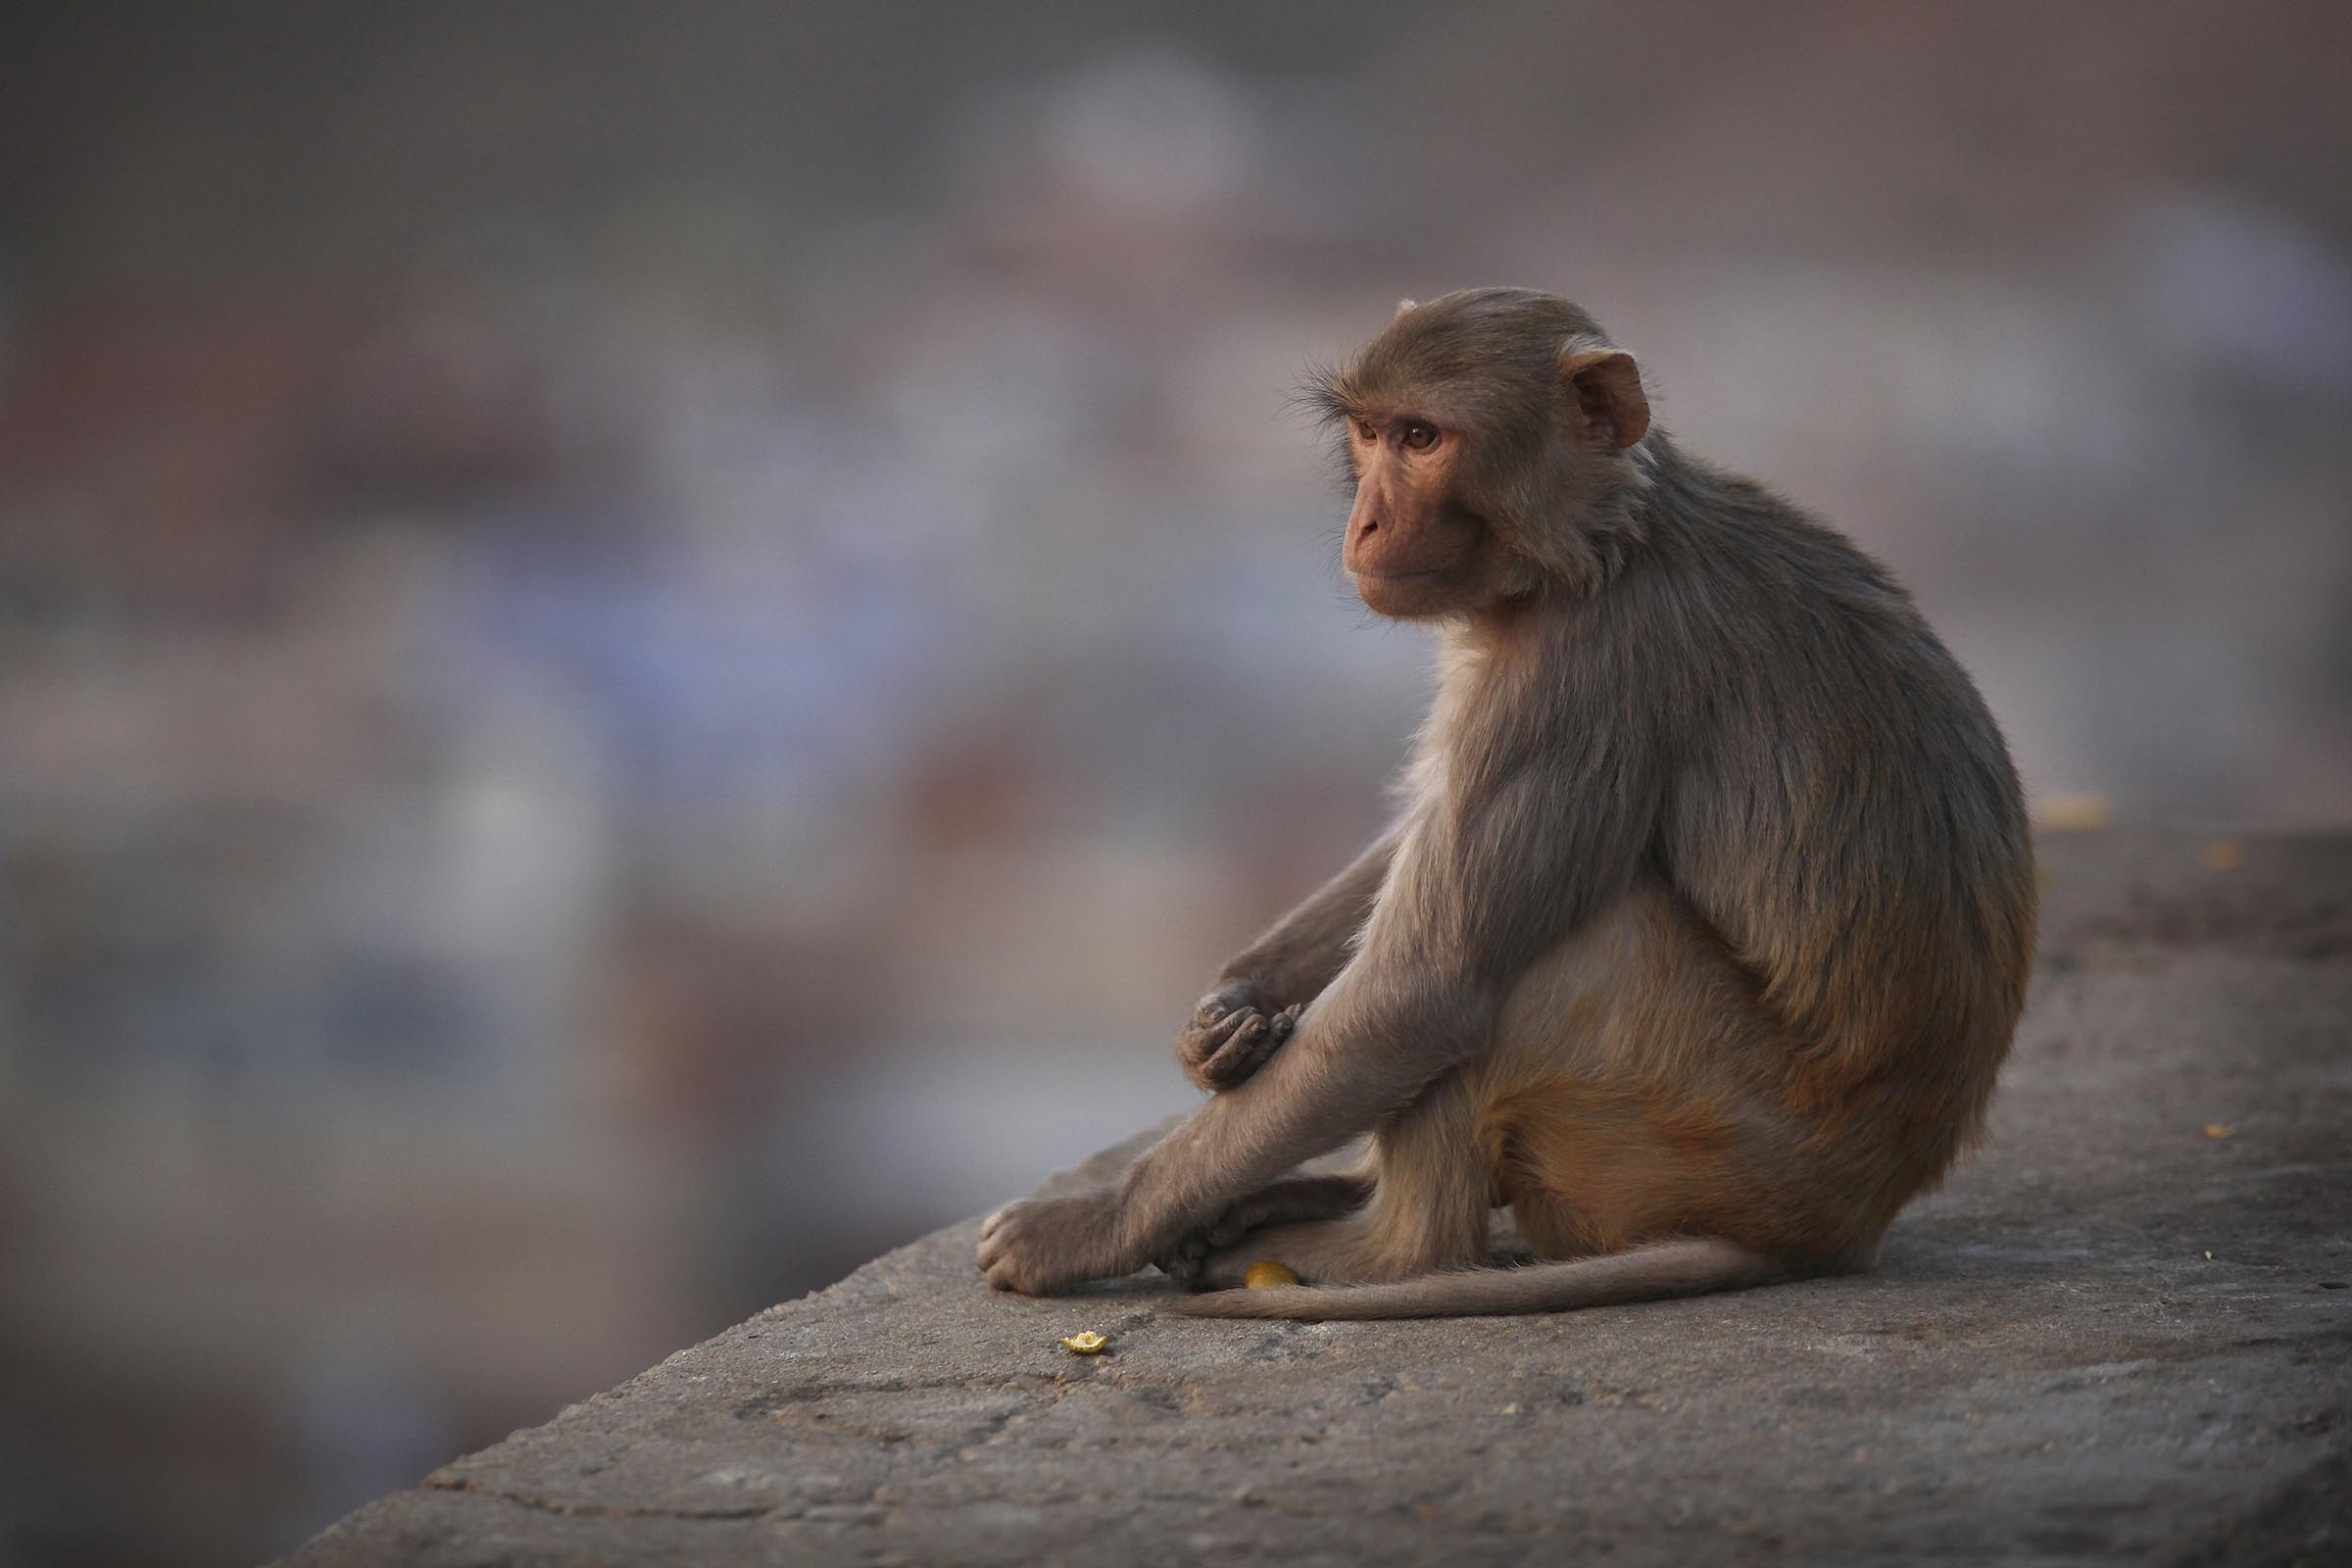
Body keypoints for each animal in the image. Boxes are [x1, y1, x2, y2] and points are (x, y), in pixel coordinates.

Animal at [973, 287, 2041, 1316]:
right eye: (1368, 432)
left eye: (1422, 439)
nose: (1364, 522)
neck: (1605, 544)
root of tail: (1840, 1224)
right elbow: (1421, 832)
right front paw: (1229, 1012)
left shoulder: (1581, 673)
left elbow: (1422, 991)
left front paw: (1085, 1225)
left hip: (1706, 1135)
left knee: (1561, 958)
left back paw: (1381, 1251)